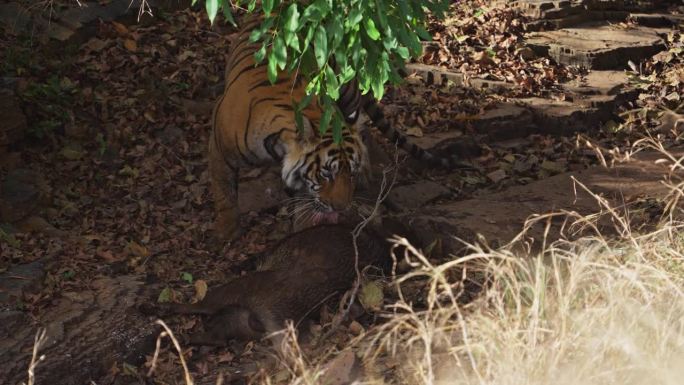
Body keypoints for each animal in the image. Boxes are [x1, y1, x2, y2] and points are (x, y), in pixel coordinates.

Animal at [210, 17, 470, 240]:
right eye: (326, 174)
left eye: (350, 172)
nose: (342, 207)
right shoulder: (220, 148)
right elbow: (224, 192)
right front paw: (228, 233)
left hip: (348, 91)